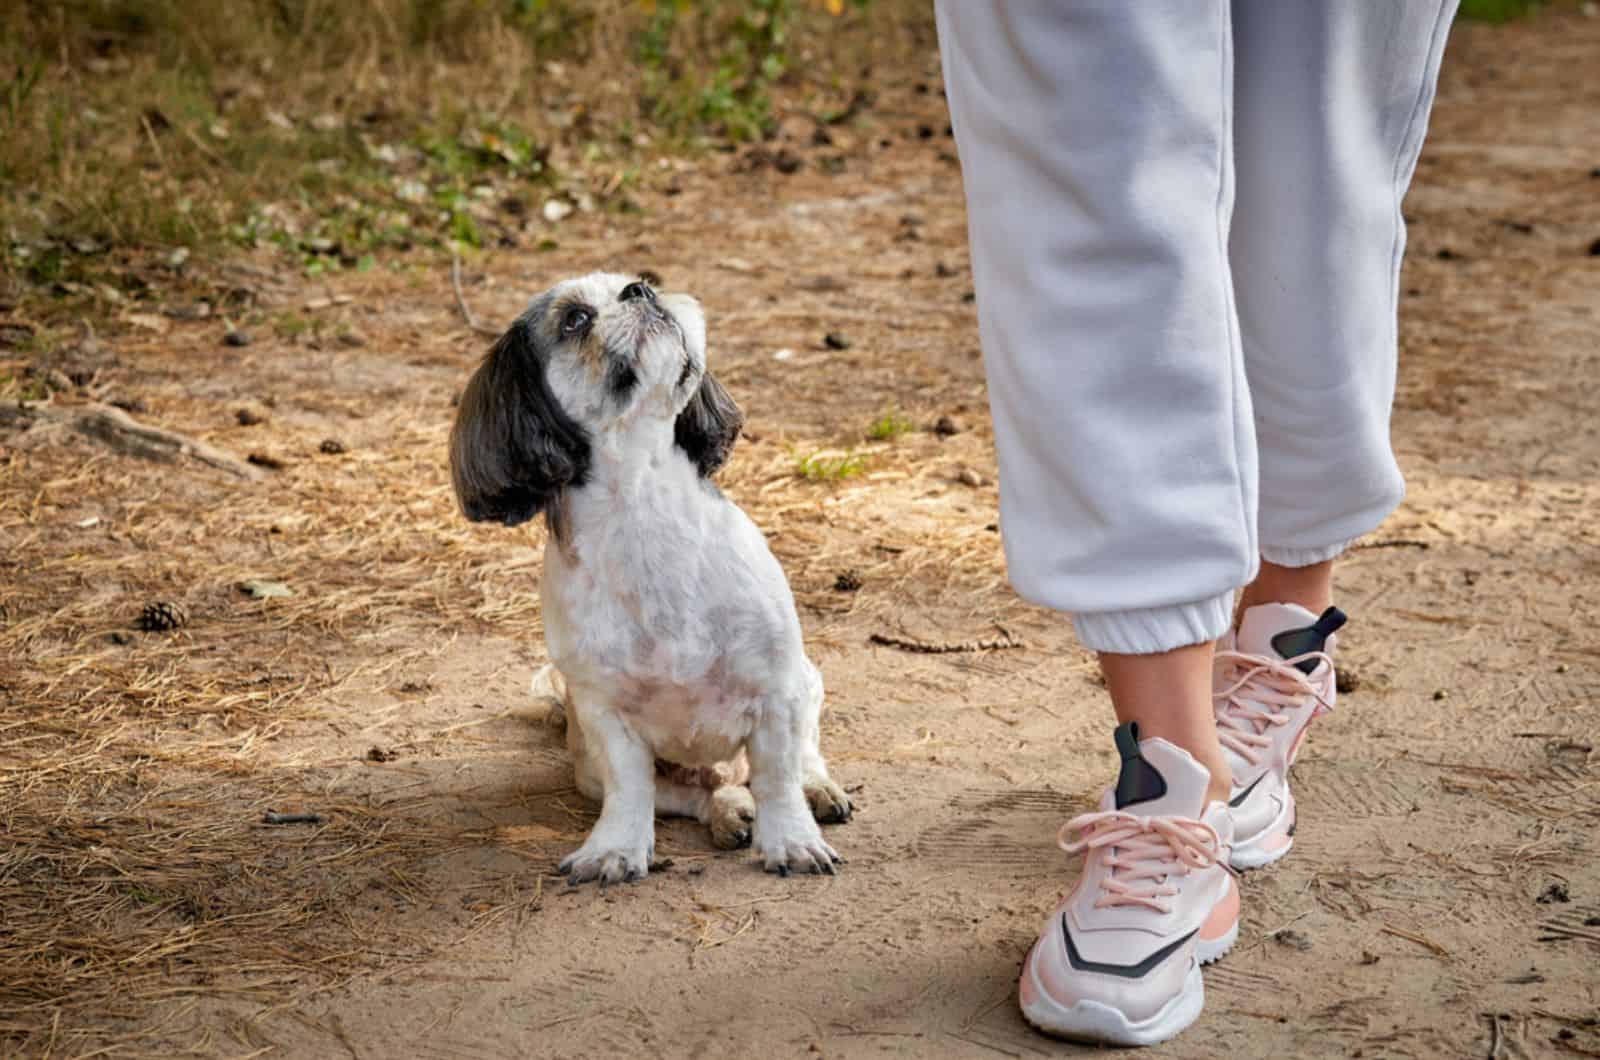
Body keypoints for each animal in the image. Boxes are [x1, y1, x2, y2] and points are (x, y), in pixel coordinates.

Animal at [451, 273, 851, 890]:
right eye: (575, 320)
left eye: (640, 281)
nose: (641, 291)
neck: (646, 506)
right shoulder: (606, 719)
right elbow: (631, 791)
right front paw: (615, 849)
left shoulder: (777, 690)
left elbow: (778, 776)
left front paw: (792, 839)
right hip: (590, 769)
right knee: (699, 793)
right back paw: (729, 810)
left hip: (807, 683)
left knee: (800, 757)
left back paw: (816, 789)